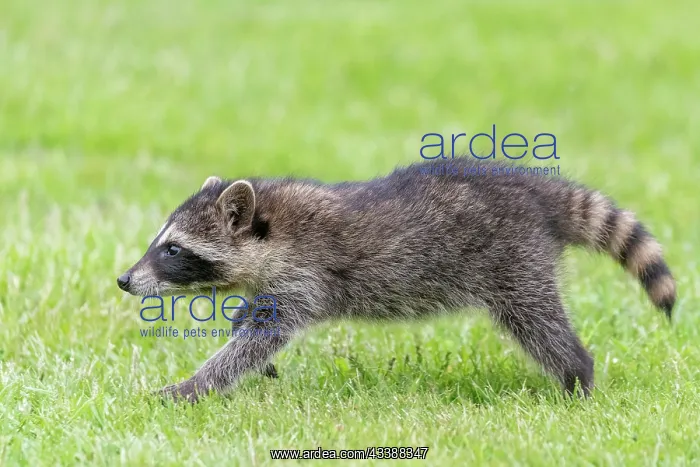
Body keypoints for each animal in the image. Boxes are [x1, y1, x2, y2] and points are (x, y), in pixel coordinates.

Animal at [117, 158, 676, 402]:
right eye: (159, 241)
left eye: (173, 249)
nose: (124, 280)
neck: (271, 225)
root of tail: (532, 190)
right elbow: (252, 324)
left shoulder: (306, 274)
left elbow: (260, 339)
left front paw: (196, 384)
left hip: (513, 262)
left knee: (540, 325)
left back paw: (577, 374)